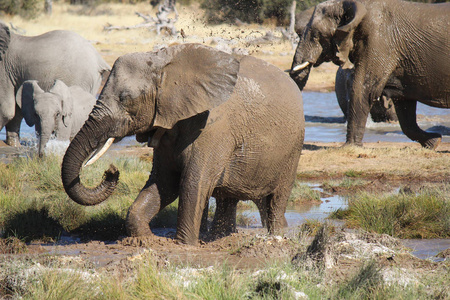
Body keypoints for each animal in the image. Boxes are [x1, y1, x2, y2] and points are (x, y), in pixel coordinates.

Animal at [60, 43, 306, 245]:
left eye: (126, 99)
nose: (111, 171)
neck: (163, 63)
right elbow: (164, 183)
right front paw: (145, 240)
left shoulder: (213, 128)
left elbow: (193, 183)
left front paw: (185, 245)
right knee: (231, 200)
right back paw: (223, 238)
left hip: (292, 151)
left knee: (275, 202)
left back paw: (277, 236)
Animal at [290, 0, 448, 149]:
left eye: (316, 35)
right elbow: (404, 104)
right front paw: (434, 141)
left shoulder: (379, 42)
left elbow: (364, 90)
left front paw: (350, 147)